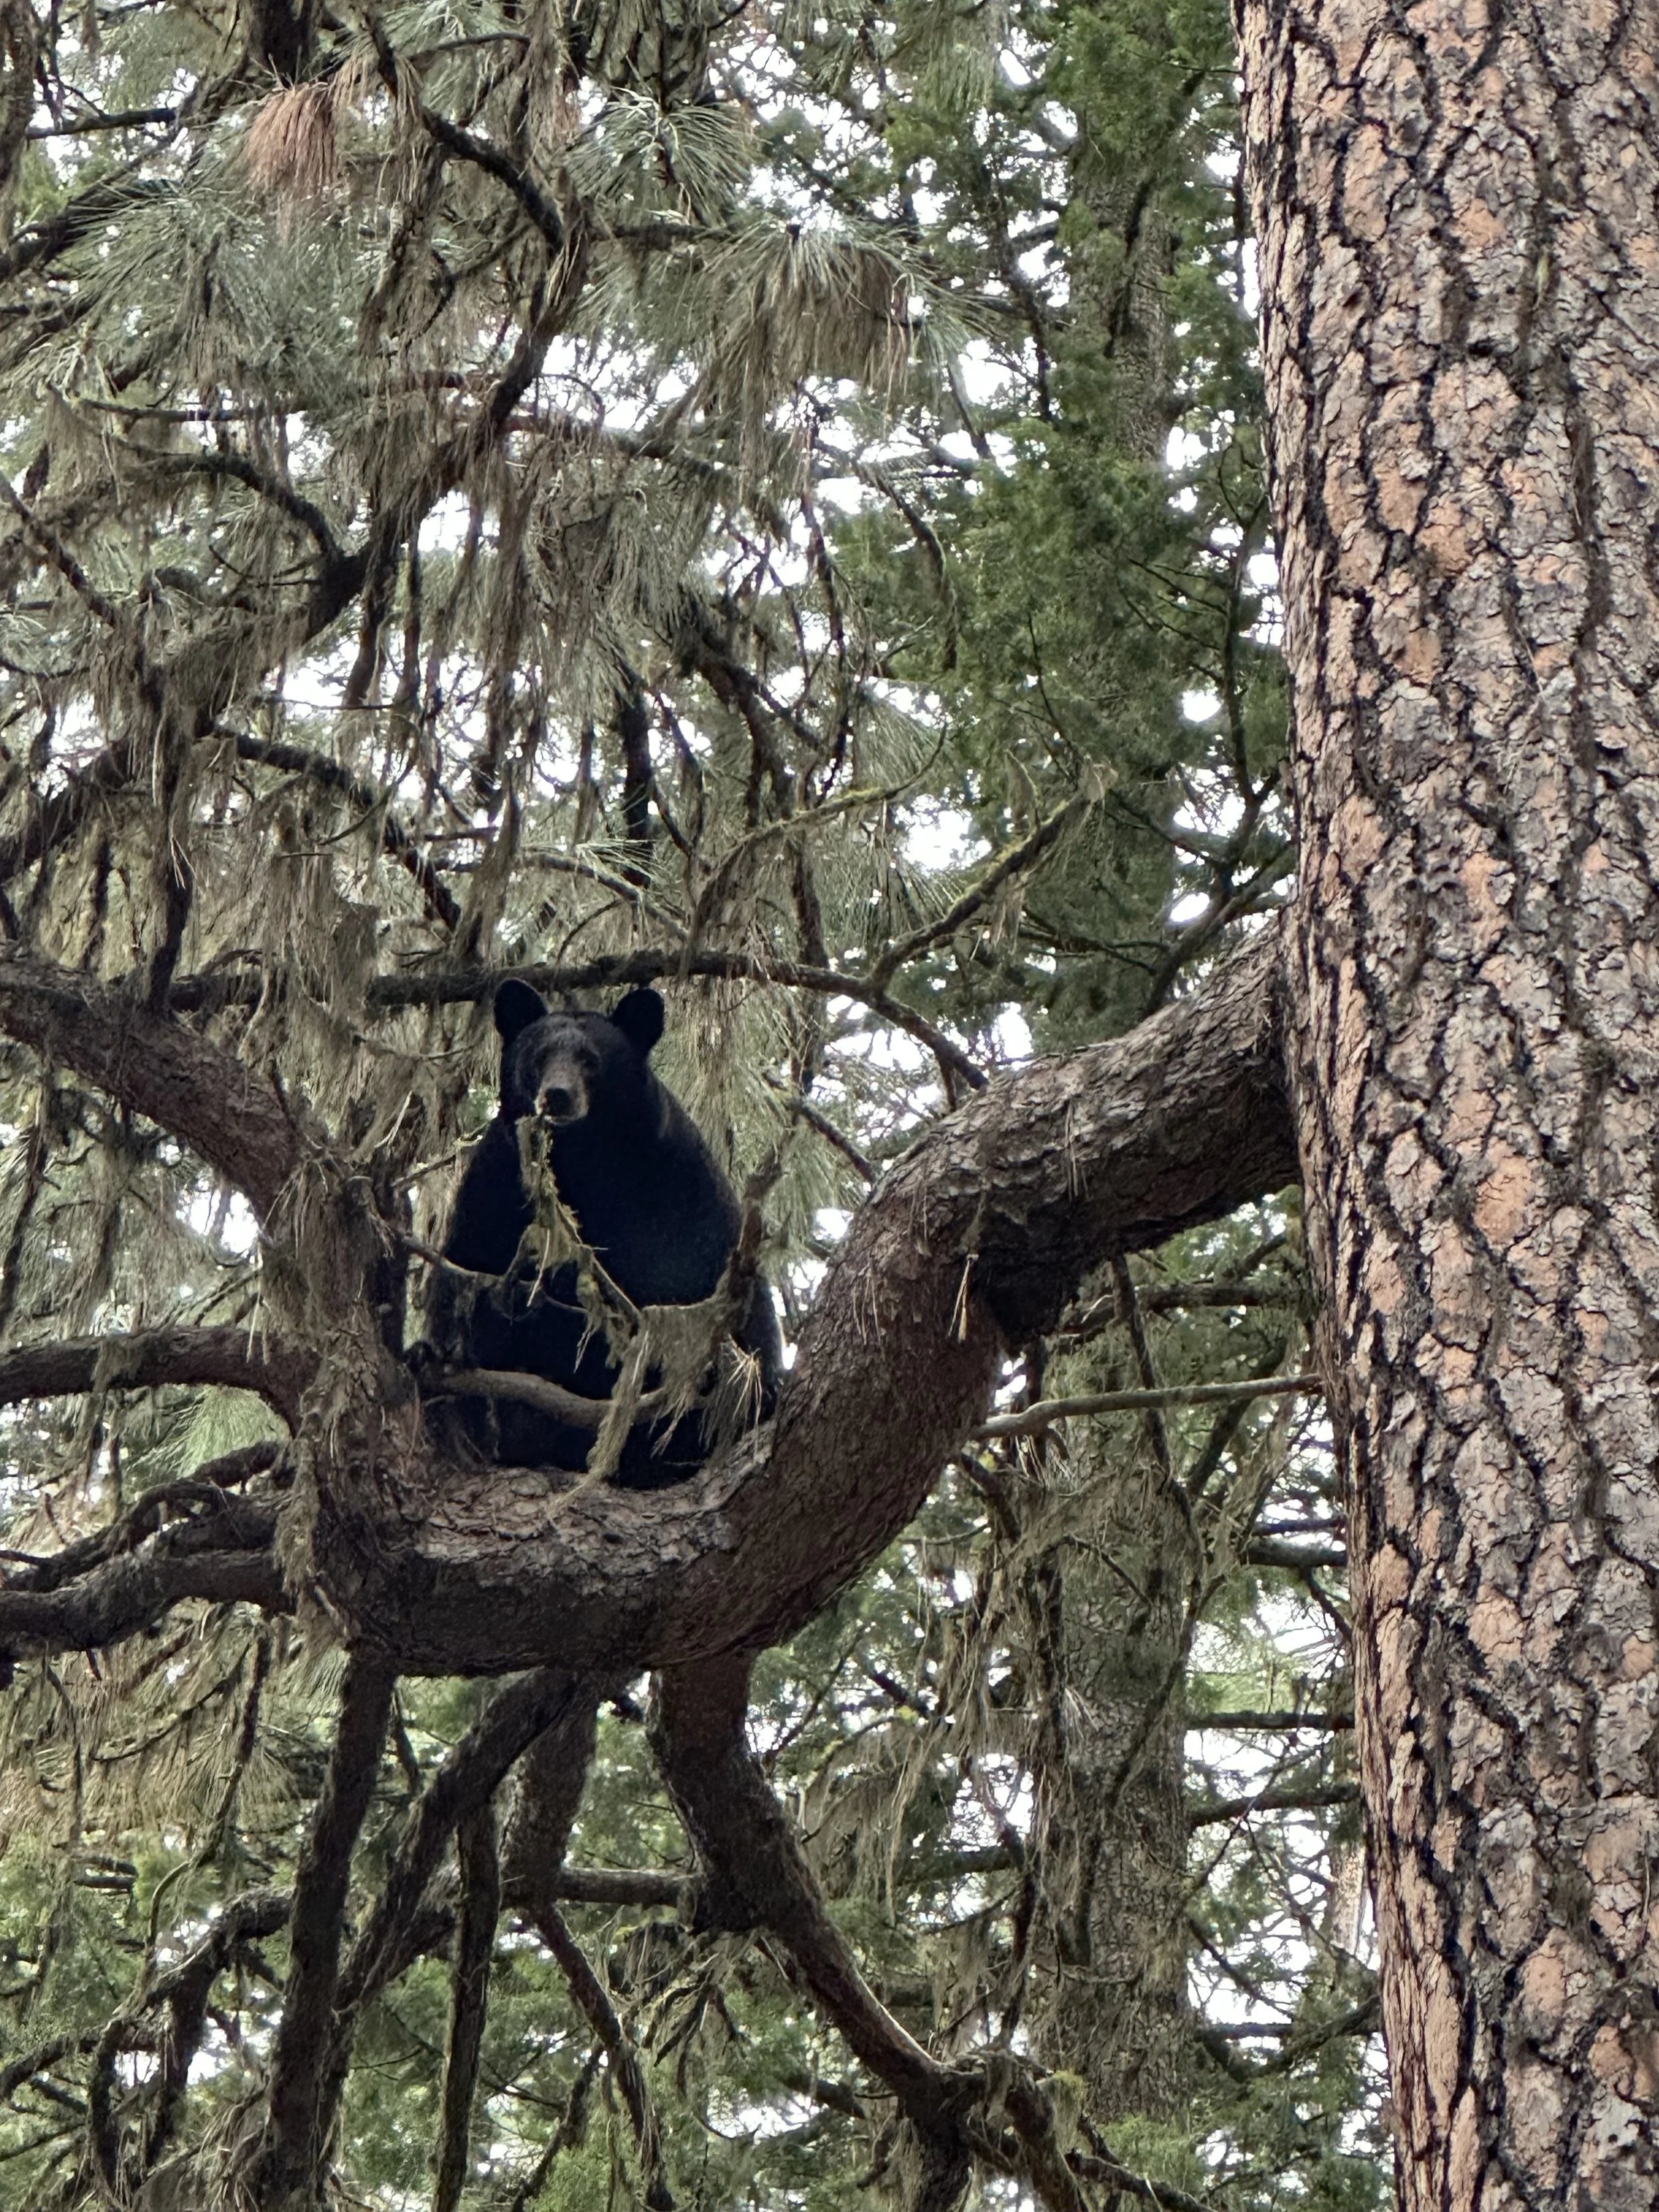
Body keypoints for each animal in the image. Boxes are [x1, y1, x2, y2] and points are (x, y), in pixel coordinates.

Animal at [425, 979, 782, 1485]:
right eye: (539, 1055)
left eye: (591, 1060)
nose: (557, 1095)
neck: (584, 1164)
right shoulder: (498, 1185)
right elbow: (469, 1274)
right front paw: (440, 1355)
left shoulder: (670, 1197)